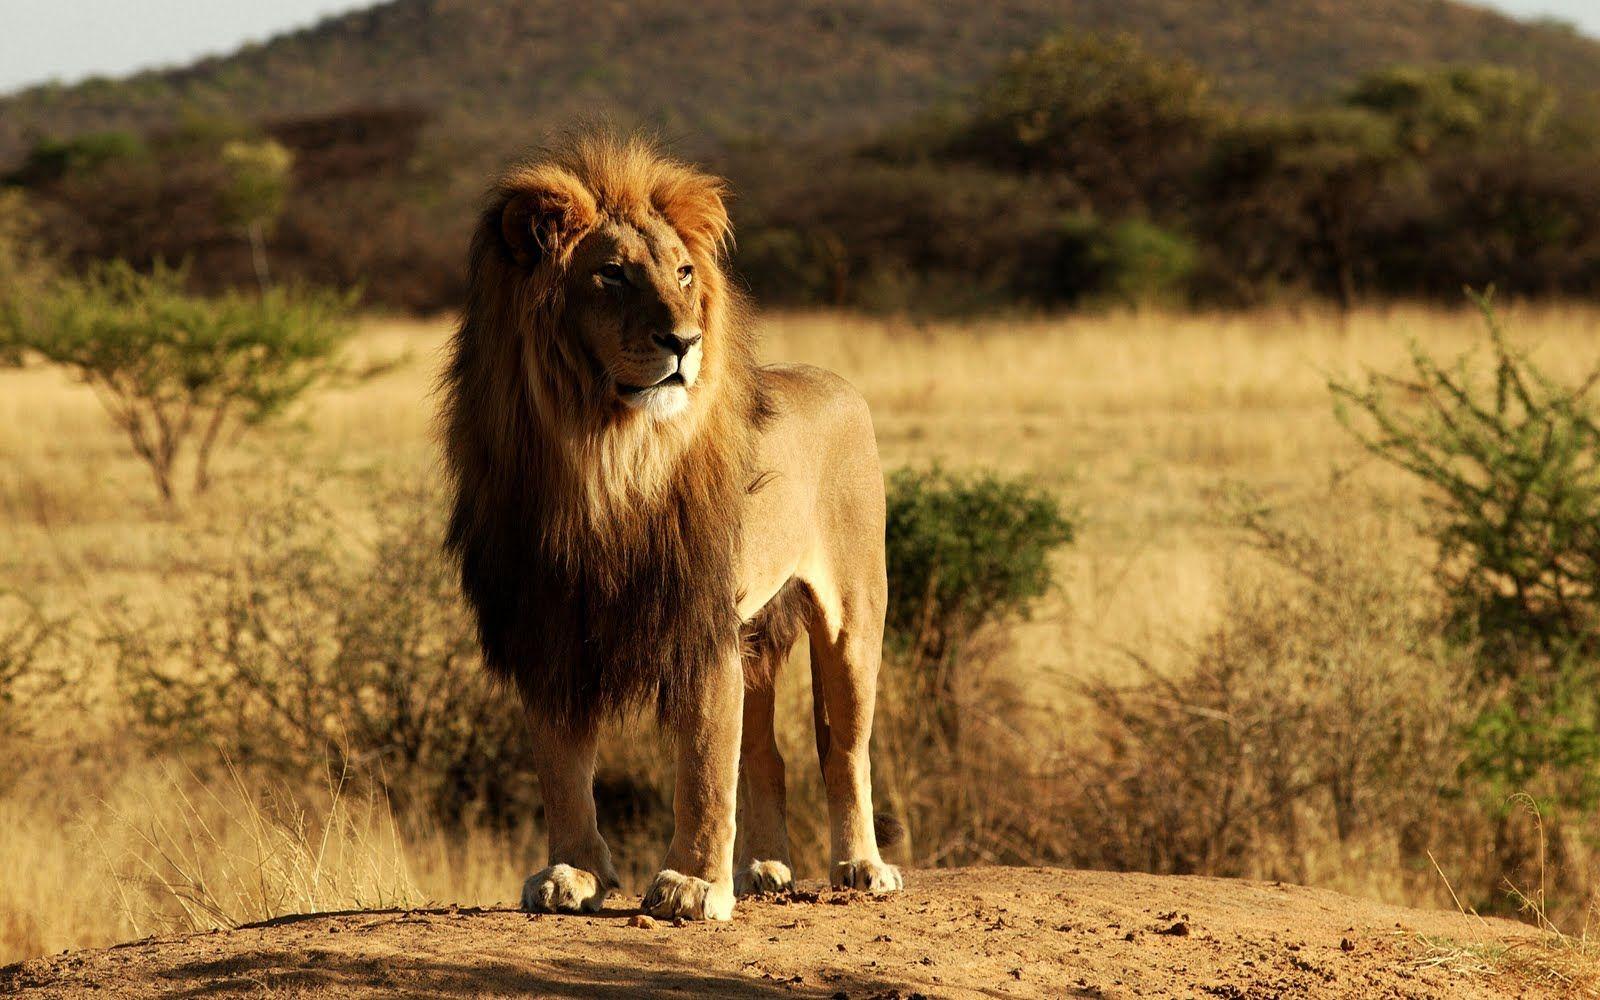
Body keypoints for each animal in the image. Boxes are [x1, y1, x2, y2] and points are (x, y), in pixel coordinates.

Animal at [441, 132, 901, 921]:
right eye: (612, 275)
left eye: (684, 273)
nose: (683, 341)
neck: (604, 456)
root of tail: (836, 381)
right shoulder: (549, 624)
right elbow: (562, 767)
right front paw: (572, 873)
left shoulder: (699, 620)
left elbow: (704, 766)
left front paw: (692, 885)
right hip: (757, 634)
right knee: (767, 753)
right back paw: (764, 869)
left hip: (852, 617)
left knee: (843, 748)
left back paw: (861, 866)